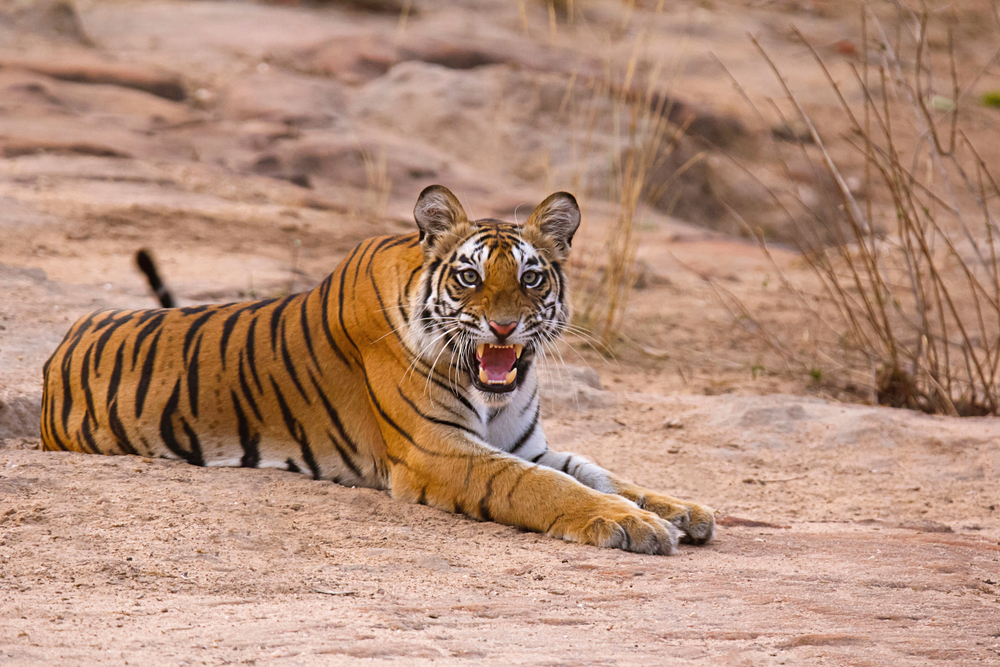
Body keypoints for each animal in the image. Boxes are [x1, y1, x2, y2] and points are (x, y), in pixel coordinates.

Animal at [39, 185, 712, 556]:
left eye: (530, 277)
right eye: (469, 277)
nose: (502, 328)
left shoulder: (526, 443)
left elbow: (600, 472)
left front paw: (680, 510)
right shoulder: (437, 451)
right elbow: (544, 487)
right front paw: (631, 525)